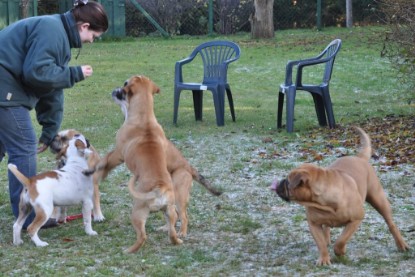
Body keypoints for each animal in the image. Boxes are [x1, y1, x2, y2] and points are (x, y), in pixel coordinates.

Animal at [272, 126, 412, 264]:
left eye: (287, 181)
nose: (279, 183)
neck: (324, 203)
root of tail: (359, 158)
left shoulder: (356, 220)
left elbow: (341, 240)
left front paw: (340, 252)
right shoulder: (313, 224)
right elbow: (321, 243)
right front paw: (324, 259)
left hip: (378, 199)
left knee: (391, 223)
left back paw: (402, 245)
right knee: (326, 228)